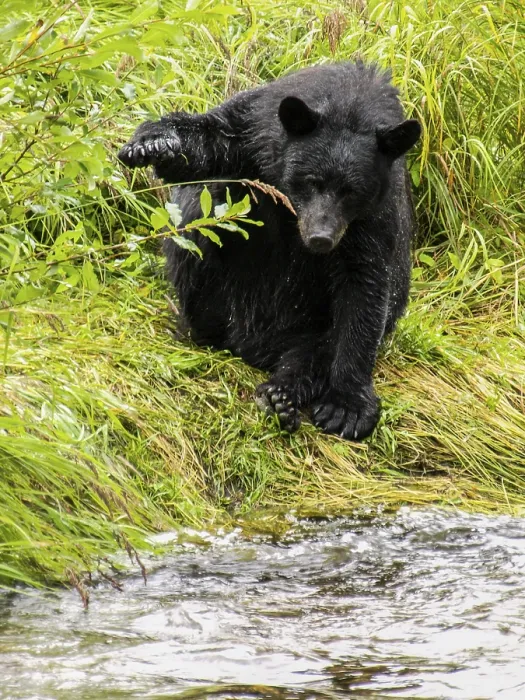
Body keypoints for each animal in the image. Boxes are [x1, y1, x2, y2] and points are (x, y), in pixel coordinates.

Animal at [118, 61, 421, 441]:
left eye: (351, 191)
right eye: (311, 181)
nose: (320, 238)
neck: (349, 105)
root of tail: (251, 345)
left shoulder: (374, 216)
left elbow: (364, 289)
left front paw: (347, 406)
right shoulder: (254, 128)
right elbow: (209, 141)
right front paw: (153, 142)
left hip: (306, 325)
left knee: (315, 349)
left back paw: (281, 395)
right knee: (199, 218)